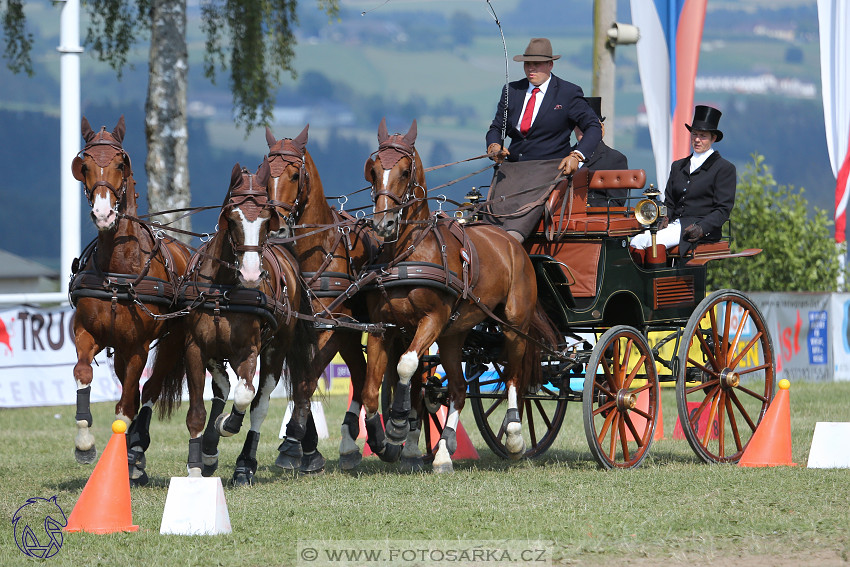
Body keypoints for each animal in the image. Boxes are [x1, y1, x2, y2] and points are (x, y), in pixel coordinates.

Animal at [69, 114, 189, 484]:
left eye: (121, 163)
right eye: (84, 165)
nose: (104, 214)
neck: (119, 269)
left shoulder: (138, 345)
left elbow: (126, 406)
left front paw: (128, 454)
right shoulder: (87, 333)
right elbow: (83, 372)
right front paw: (84, 443)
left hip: (170, 343)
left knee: (148, 390)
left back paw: (136, 451)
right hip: (119, 350)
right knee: (132, 387)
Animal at [153, 162, 314, 486]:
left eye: (265, 219)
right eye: (232, 217)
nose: (252, 275)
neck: (223, 290)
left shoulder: (248, 351)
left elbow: (245, 395)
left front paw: (227, 424)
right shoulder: (195, 349)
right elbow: (198, 411)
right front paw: (196, 465)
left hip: (276, 349)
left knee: (258, 404)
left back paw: (244, 464)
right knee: (222, 387)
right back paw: (209, 450)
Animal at [264, 126, 380, 472]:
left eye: (294, 174)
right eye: (265, 174)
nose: (275, 229)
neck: (320, 246)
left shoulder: (331, 326)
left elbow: (307, 381)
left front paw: (292, 444)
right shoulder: (301, 330)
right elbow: (303, 378)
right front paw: (305, 445)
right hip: (351, 332)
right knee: (361, 372)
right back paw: (350, 440)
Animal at [362, 121, 556, 474]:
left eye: (405, 171)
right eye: (374, 170)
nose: (383, 223)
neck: (408, 254)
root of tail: (512, 242)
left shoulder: (431, 320)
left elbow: (406, 365)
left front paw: (397, 425)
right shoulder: (384, 327)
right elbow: (374, 388)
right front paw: (385, 440)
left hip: (513, 325)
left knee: (515, 377)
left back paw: (515, 436)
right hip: (454, 335)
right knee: (459, 389)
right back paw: (442, 452)